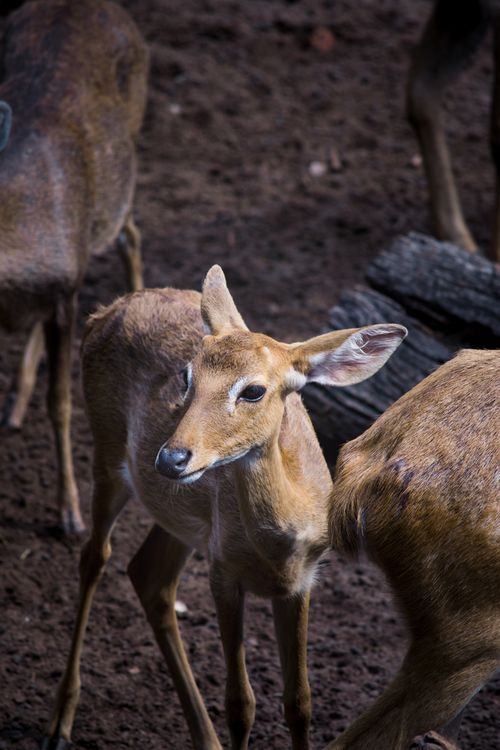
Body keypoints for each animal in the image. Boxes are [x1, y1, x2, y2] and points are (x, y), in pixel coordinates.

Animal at [41, 265, 406, 750]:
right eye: (186, 377)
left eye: (253, 391)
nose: (171, 458)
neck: (277, 549)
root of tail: (106, 310)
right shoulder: (222, 571)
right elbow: (240, 704)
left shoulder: (303, 580)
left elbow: (300, 702)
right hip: (108, 450)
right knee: (94, 557)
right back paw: (59, 723)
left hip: (179, 518)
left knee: (149, 575)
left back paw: (203, 738)